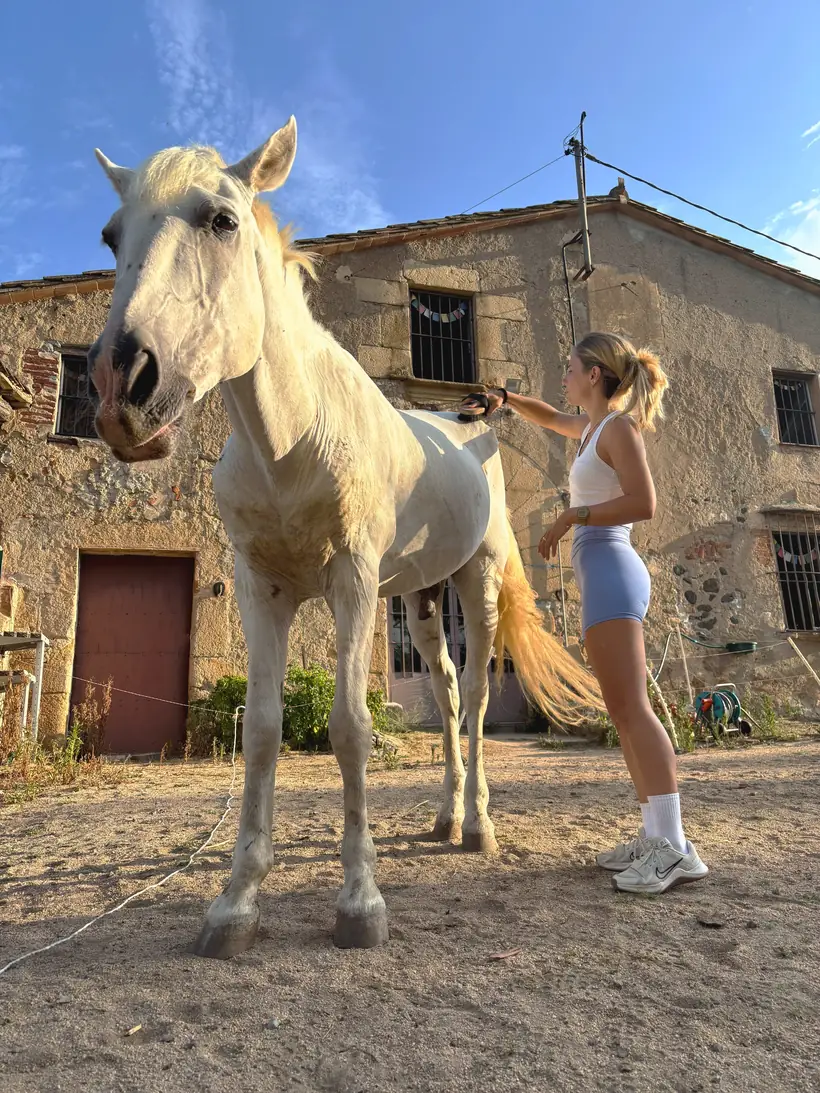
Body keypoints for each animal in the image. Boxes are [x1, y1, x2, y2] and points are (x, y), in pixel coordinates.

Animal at [88, 118, 602, 958]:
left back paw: (478, 825)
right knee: (445, 686)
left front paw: (360, 903)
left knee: (477, 696)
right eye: (109, 236)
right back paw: (445, 815)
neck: (292, 442)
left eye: (223, 220)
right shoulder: (262, 588)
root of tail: (473, 423)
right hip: (421, 601)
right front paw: (234, 904)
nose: (119, 386)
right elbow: (262, 731)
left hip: (478, 582)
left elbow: (352, 728)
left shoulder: (352, 583)